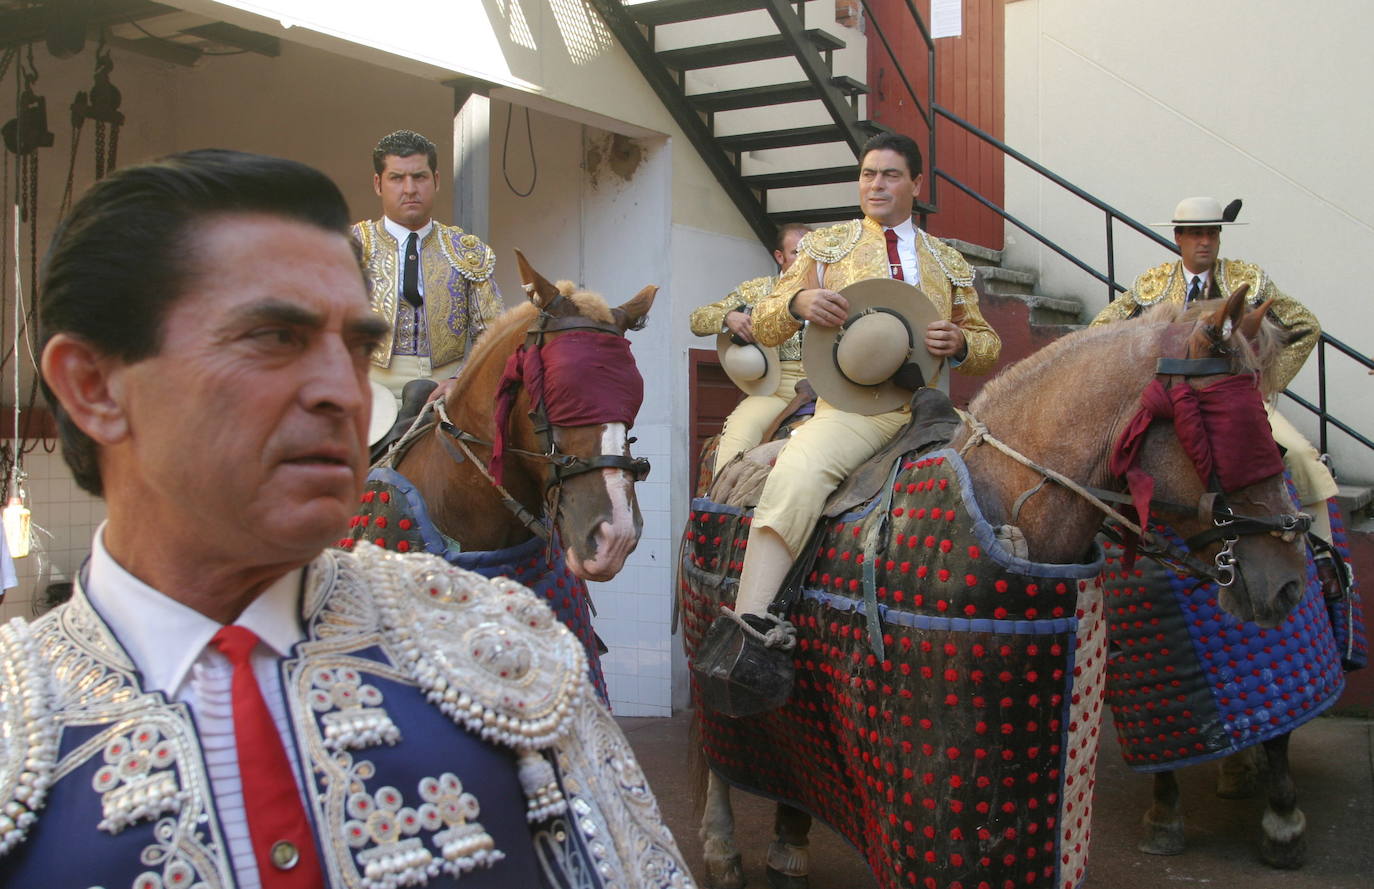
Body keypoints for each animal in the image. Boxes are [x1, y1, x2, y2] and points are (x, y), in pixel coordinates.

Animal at [687, 287, 1308, 889]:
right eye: (1227, 423)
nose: (1288, 583)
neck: (1009, 490)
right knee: (715, 750)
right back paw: (721, 849)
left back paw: (789, 845)